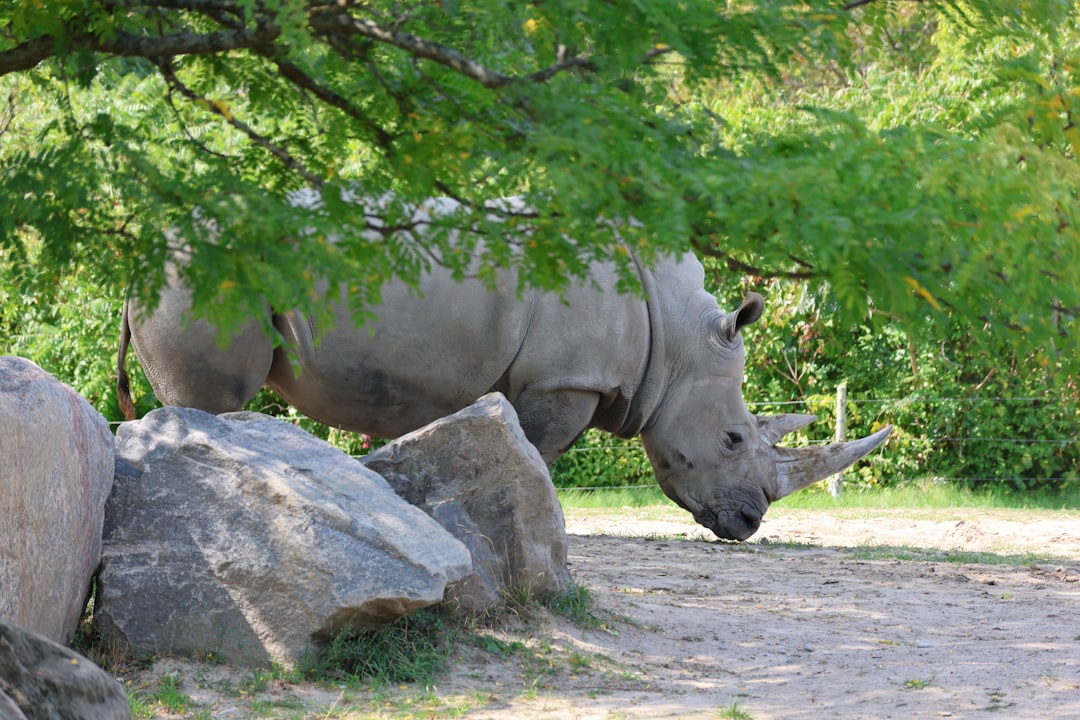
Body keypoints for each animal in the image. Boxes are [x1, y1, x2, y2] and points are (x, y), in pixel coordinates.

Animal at [117, 198, 890, 540]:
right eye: (733, 439)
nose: (750, 523)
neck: (676, 338)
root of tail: (139, 254)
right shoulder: (566, 379)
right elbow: (541, 458)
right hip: (205, 273)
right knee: (211, 400)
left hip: (188, 274)